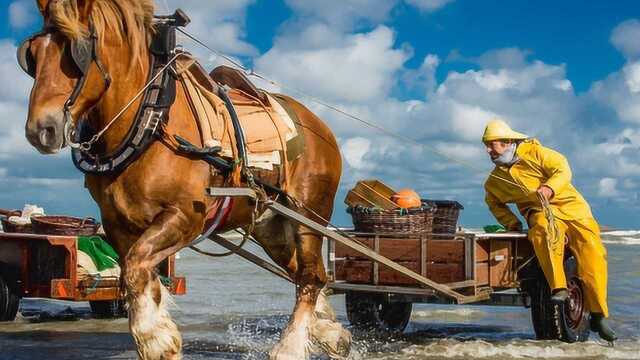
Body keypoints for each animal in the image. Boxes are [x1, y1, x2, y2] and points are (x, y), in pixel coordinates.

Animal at [21, 1, 350, 358]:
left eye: (76, 51)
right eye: (32, 55)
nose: (41, 129)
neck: (150, 119)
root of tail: (320, 126)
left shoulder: (185, 216)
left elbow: (136, 270)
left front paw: (157, 340)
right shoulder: (118, 224)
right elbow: (139, 276)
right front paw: (160, 334)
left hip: (307, 215)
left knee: (309, 277)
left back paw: (289, 347)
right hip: (271, 225)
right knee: (307, 274)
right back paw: (330, 331)